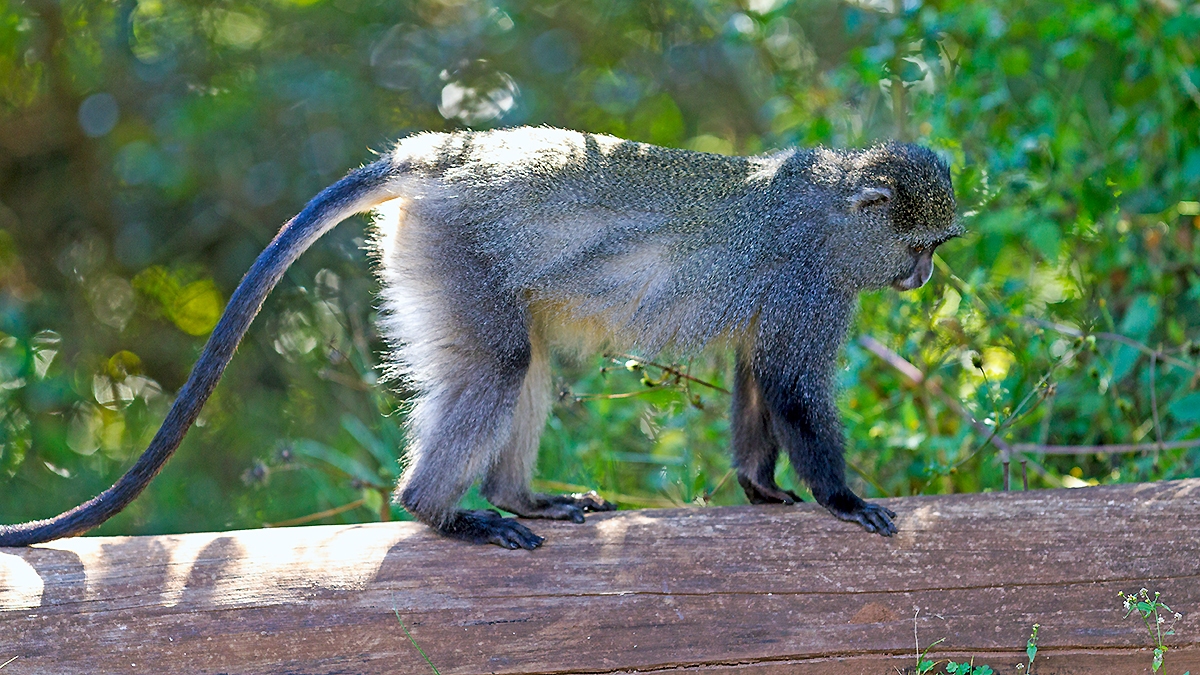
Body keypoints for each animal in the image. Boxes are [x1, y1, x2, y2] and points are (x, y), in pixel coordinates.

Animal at [0, 127, 961, 550]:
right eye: (917, 247)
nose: (919, 279)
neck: (831, 205)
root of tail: (437, 153)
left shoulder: (796, 293)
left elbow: (759, 377)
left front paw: (760, 487)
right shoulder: (813, 281)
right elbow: (789, 381)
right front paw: (843, 498)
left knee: (523, 358)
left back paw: (519, 497)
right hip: (453, 245)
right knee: (502, 363)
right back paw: (442, 510)